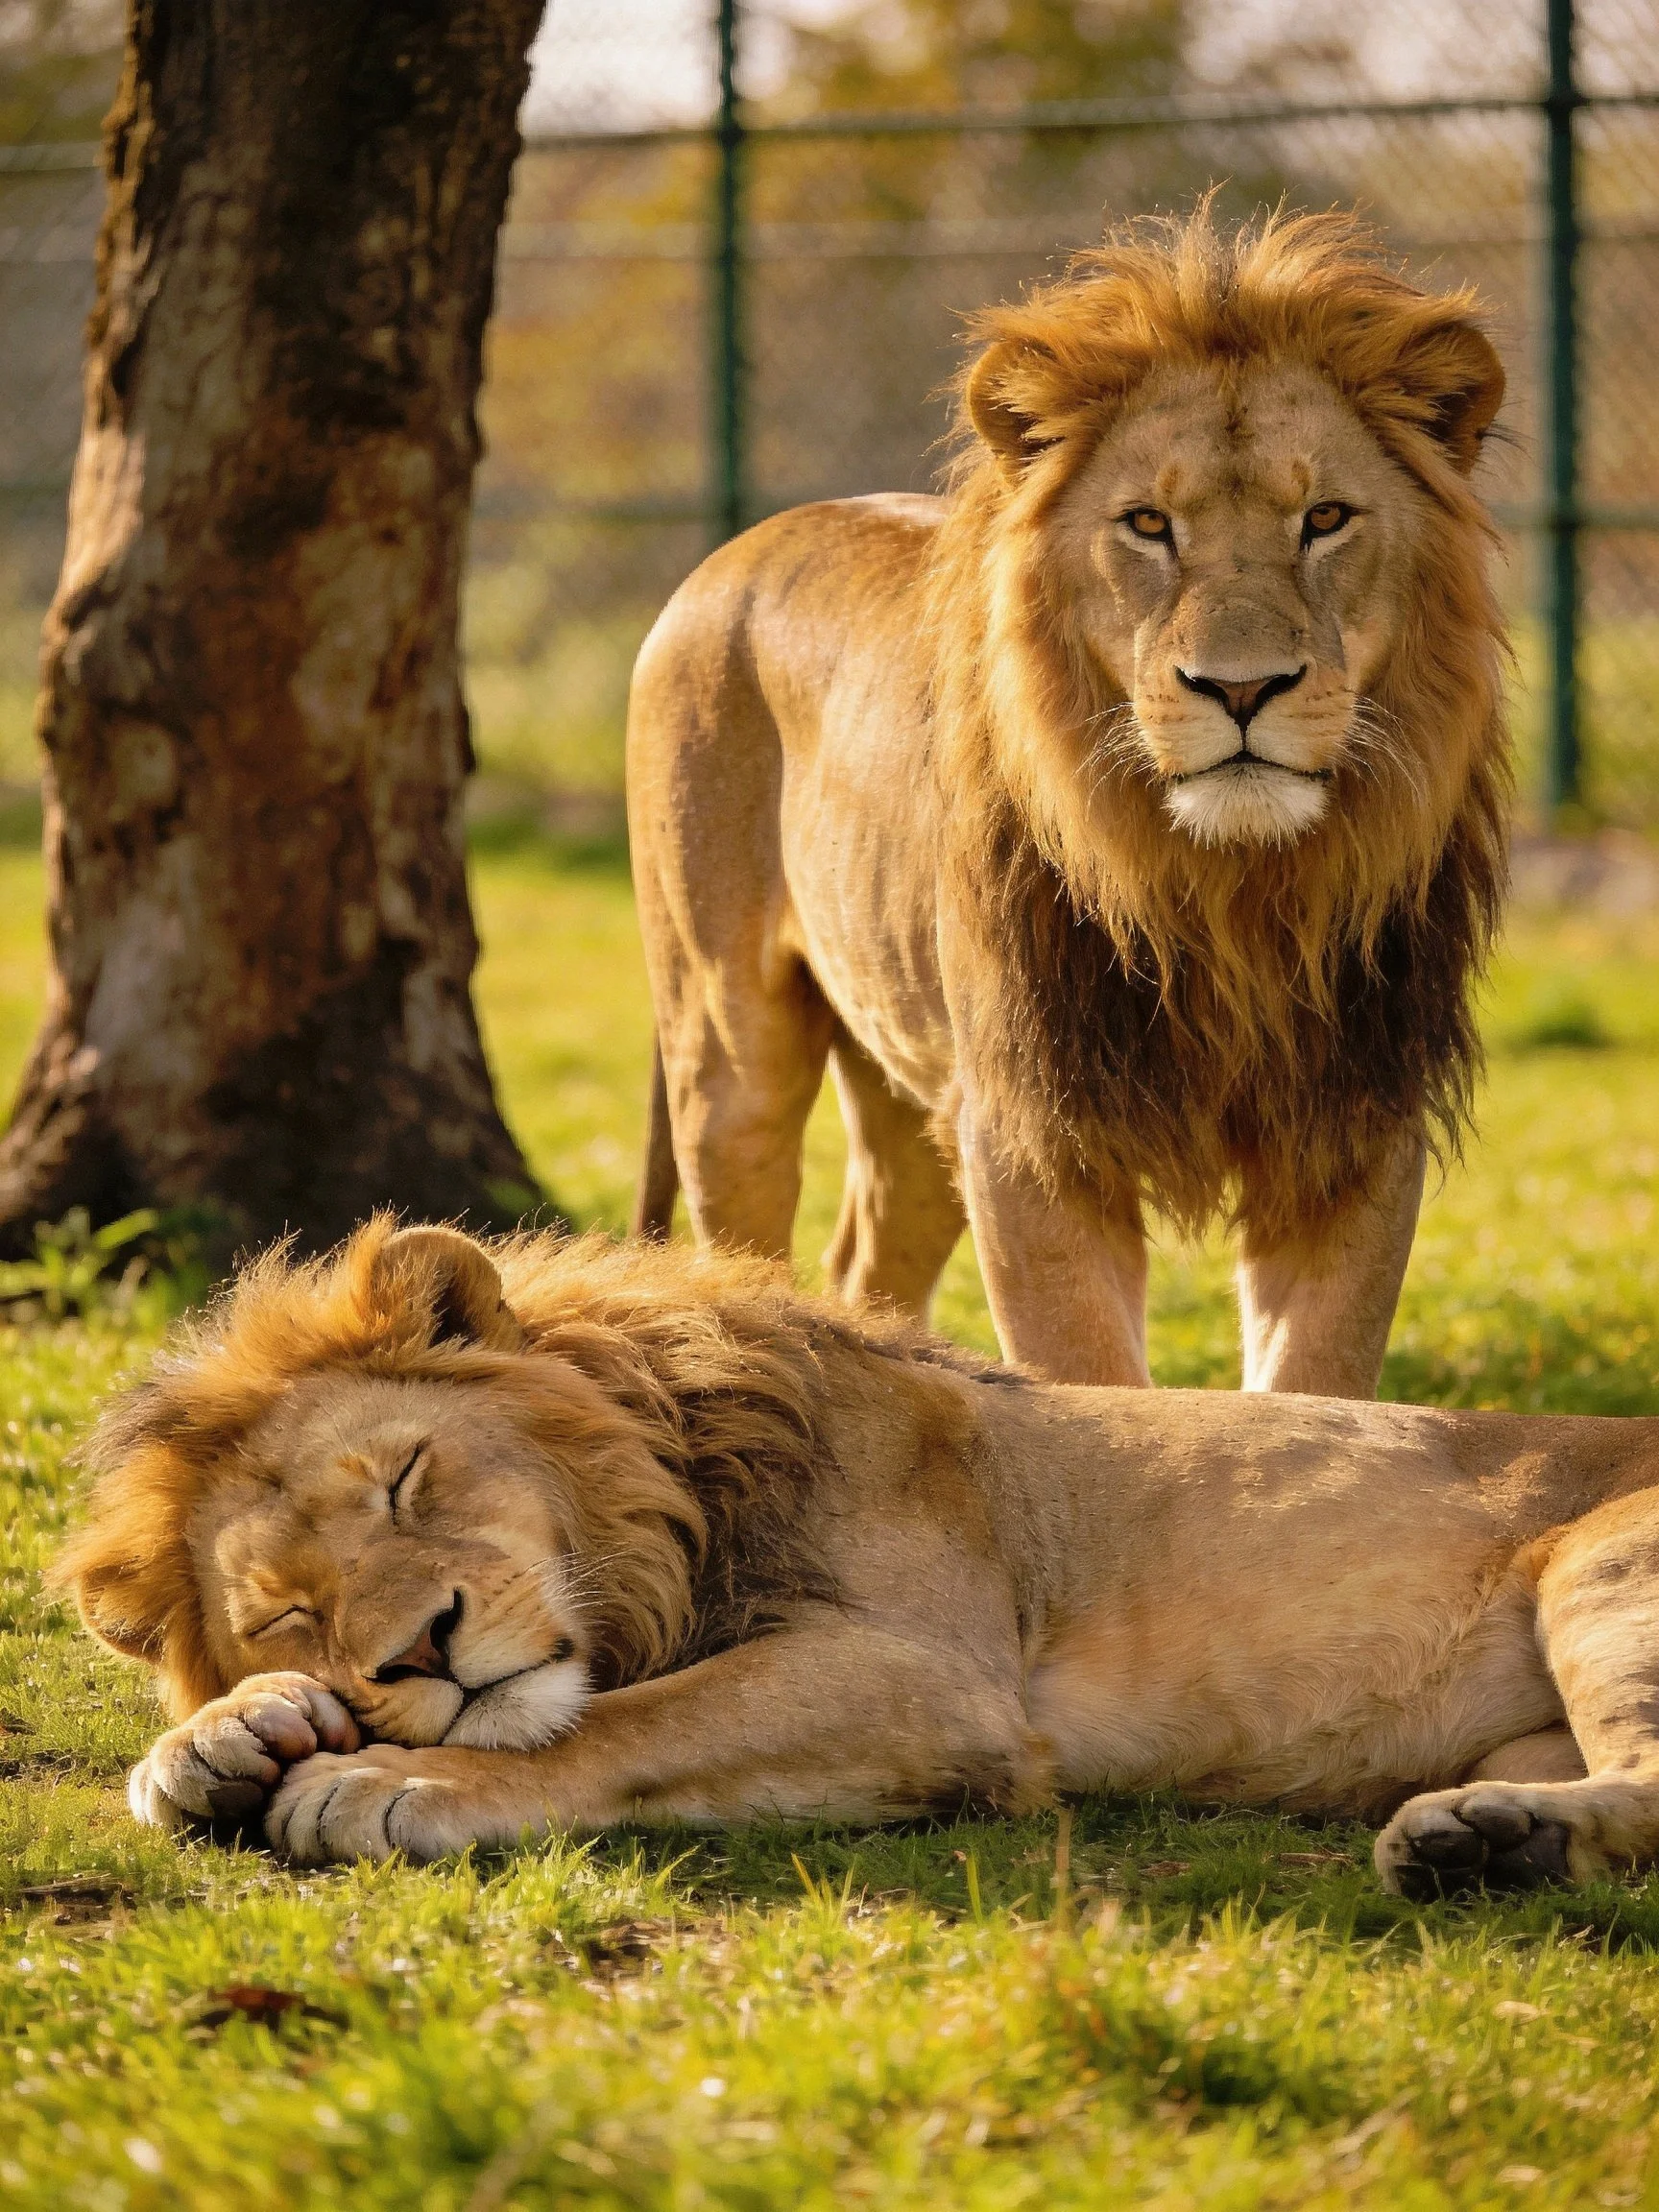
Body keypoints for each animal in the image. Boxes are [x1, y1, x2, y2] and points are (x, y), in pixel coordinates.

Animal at [55, 1220, 1659, 1896]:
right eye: (291, 1615)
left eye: (406, 1478)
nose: (420, 1650)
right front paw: (218, 1744)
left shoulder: (930, 1679)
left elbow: (623, 1721)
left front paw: (394, 1779)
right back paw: (1493, 1843)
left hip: (1608, 1575)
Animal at [626, 206, 1510, 1395]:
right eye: (1148, 524)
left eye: (1326, 517)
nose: (1241, 689)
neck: (1230, 893)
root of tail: (733, 550)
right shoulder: (1031, 1133)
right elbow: (1092, 1376)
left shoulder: (1355, 1130)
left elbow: (1317, 1386)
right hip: (728, 1052)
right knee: (745, 1248)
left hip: (913, 1084)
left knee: (865, 1271)